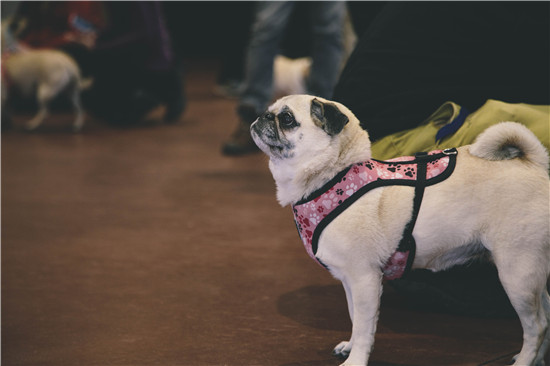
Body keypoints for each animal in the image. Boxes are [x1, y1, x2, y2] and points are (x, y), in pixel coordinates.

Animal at [251, 95, 550, 366]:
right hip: (532, 273)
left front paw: (356, 359)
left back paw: (525, 360)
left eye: (287, 119)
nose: (262, 116)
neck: (333, 176)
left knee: (536, 326)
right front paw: (350, 346)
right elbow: (354, 317)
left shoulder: (365, 278)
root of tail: (532, 164)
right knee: (546, 316)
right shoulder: (350, 280)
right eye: (271, 111)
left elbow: (364, 327)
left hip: (517, 273)